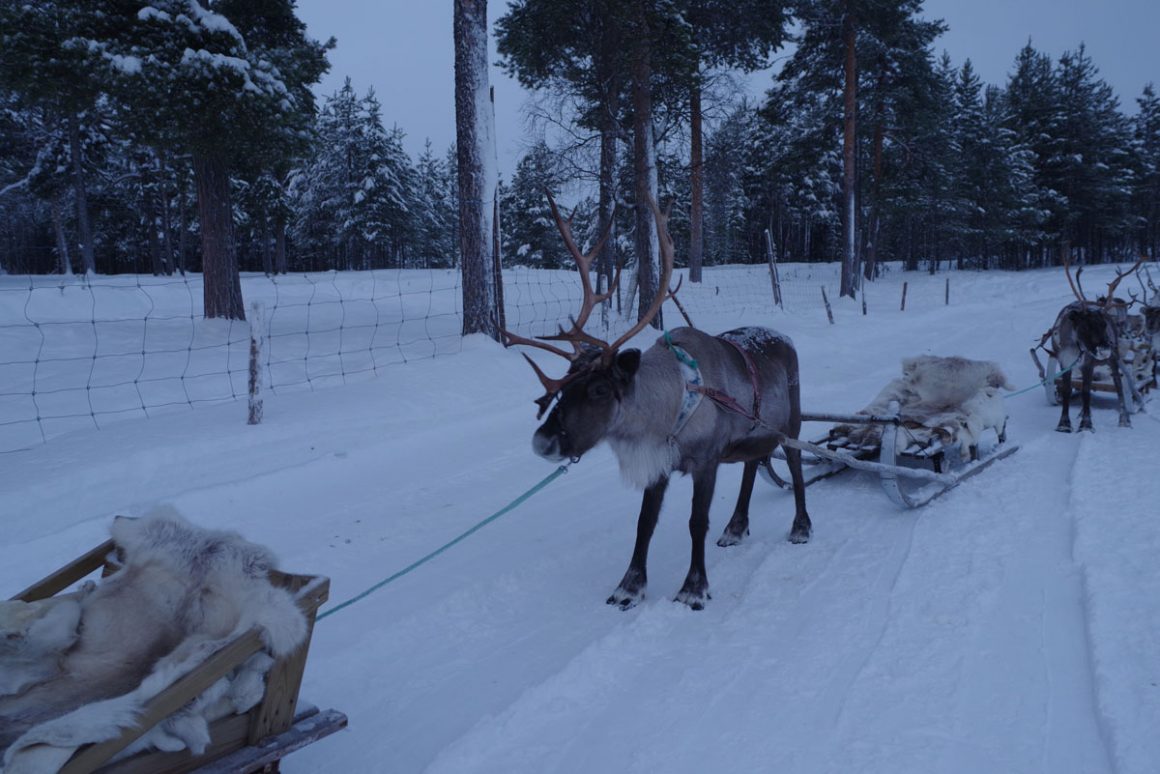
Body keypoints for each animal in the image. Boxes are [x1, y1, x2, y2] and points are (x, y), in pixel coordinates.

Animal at [503, 196, 810, 610]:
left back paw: (801, 526)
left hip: (792, 421)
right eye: (564, 388)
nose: (543, 442)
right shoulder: (658, 464)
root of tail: (784, 337)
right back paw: (735, 527)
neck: (669, 407)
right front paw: (629, 588)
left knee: (794, 464)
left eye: (599, 390)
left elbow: (696, 522)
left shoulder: (707, 460)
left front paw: (694, 588)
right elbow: (644, 523)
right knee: (752, 463)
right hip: (752, 430)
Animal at [1034, 255, 1145, 432]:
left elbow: (1086, 390)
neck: (1074, 345)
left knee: (1119, 384)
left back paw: (1124, 420)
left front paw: (1086, 424)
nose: (1105, 349)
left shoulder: (1088, 362)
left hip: (1114, 358)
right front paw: (1064, 424)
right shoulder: (1064, 361)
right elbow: (1067, 390)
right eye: (1085, 326)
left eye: (1103, 325)